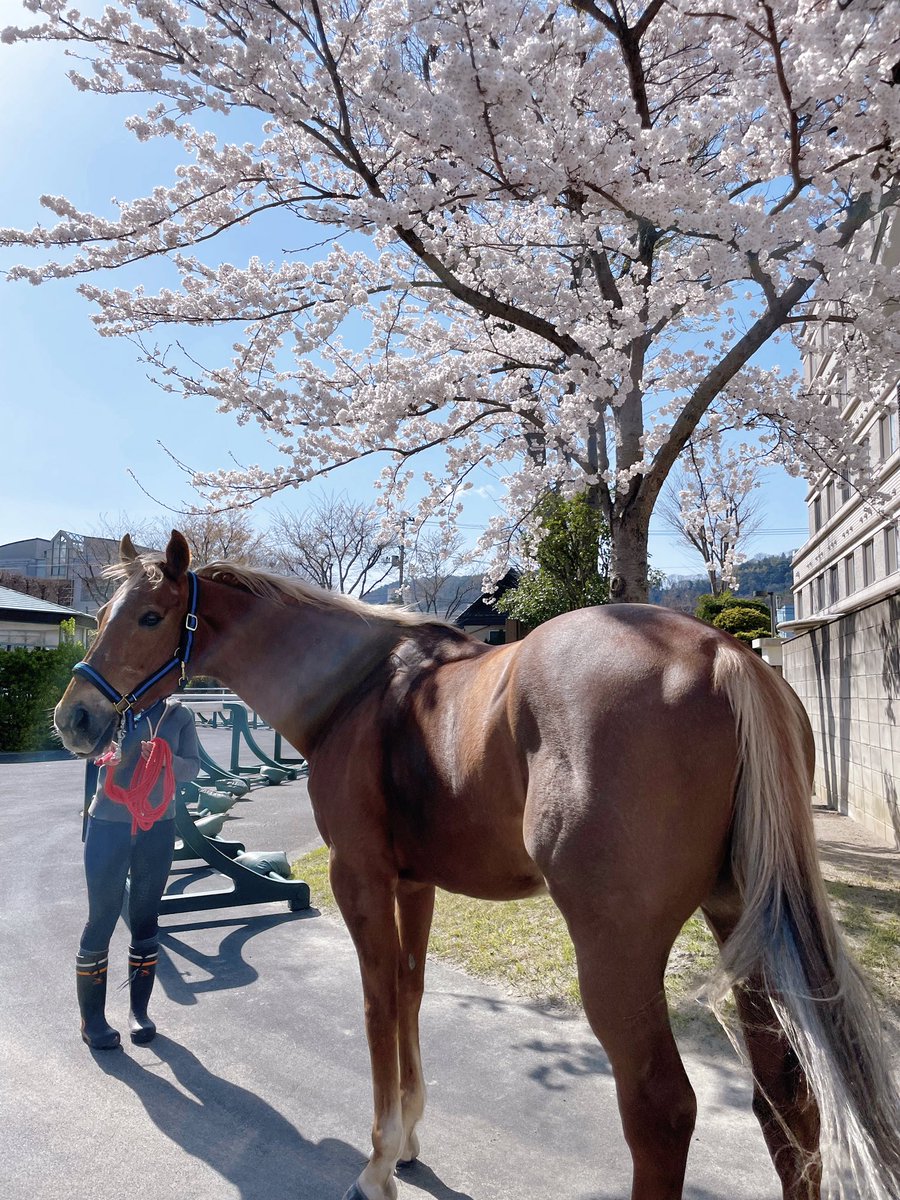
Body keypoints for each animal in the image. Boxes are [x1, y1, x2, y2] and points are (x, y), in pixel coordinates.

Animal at [54, 531, 900, 1200]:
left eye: (151, 616)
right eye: (103, 615)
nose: (74, 718)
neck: (359, 690)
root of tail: (722, 654)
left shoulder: (360, 880)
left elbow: (377, 1006)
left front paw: (377, 1165)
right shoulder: (417, 885)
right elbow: (409, 994)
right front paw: (409, 1142)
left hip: (617, 950)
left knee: (661, 1110)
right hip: (739, 923)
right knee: (787, 1097)